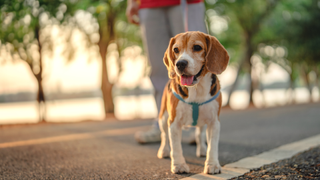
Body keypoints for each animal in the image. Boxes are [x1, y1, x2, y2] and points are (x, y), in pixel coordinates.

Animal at [157, 31, 228, 174]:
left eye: (197, 47)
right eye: (176, 50)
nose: (180, 64)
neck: (196, 88)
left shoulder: (214, 122)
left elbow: (213, 146)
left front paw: (212, 165)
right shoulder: (174, 122)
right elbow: (176, 146)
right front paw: (179, 165)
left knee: (199, 133)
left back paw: (202, 149)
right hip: (163, 118)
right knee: (164, 135)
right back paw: (164, 151)